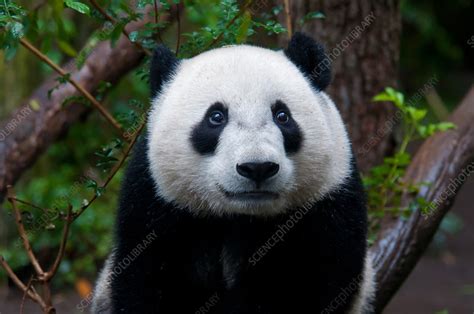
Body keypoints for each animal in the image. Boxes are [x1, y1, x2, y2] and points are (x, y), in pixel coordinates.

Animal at [90, 33, 376, 312]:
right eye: (216, 117)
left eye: (282, 116)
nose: (257, 167)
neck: (239, 217)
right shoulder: (156, 203)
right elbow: (147, 282)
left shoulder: (327, 202)